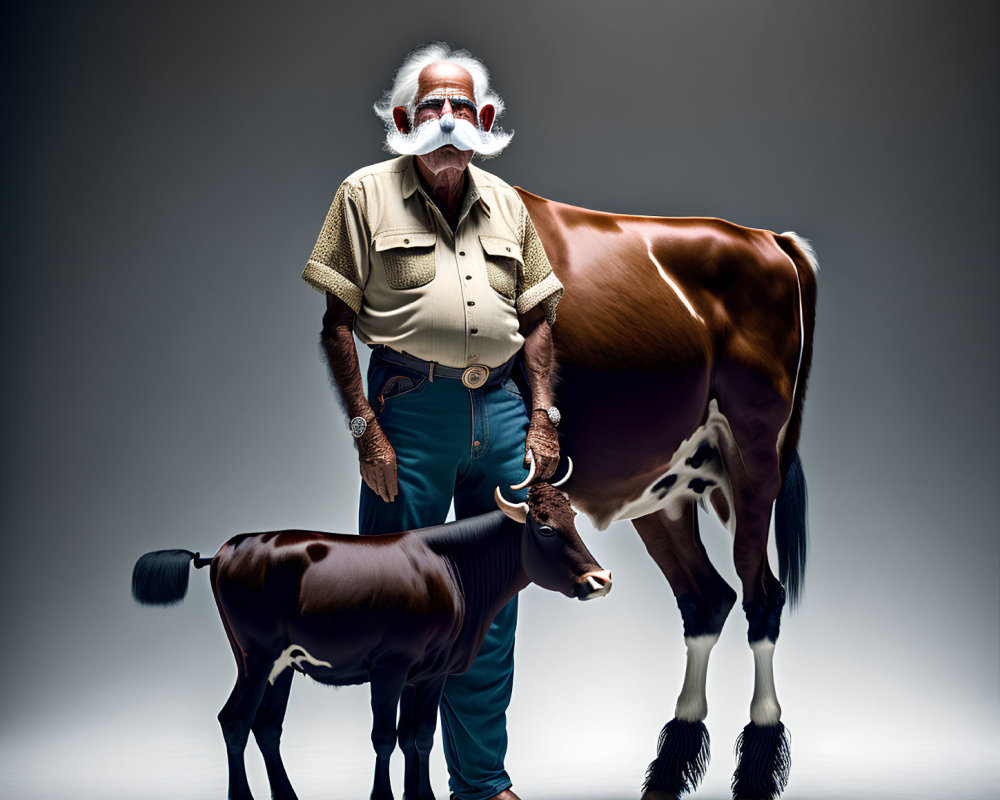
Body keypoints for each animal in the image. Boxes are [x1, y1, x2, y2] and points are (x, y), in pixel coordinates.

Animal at [516, 189, 820, 800]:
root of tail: (771, 239)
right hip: (667, 486)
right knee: (707, 597)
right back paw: (670, 766)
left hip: (753, 455)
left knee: (761, 595)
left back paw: (757, 766)